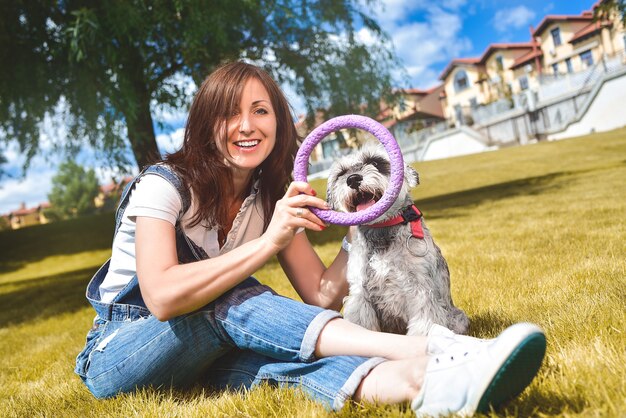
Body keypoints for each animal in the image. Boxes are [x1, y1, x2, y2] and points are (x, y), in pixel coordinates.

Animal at [326, 144, 468, 336]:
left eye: (376, 162)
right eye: (341, 173)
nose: (353, 179)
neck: (381, 232)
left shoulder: (420, 289)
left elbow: (425, 322)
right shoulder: (359, 293)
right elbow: (360, 322)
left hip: (459, 318)